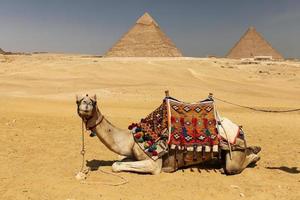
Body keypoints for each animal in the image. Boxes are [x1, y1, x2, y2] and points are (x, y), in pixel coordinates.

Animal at [76, 94, 262, 175]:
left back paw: (256, 155)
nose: (85, 104)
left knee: (234, 166)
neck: (131, 139)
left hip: (233, 156)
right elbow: (119, 160)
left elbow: (116, 165)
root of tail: (239, 129)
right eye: (78, 101)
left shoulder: (154, 163)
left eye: (93, 101)